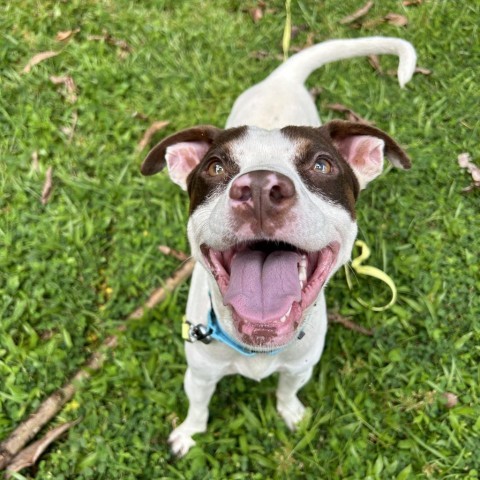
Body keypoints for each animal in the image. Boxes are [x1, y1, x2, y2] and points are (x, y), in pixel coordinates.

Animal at [140, 35, 416, 456]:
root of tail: (282, 77)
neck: (257, 349)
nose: (258, 188)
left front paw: (291, 414)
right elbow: (199, 406)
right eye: (215, 167)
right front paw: (189, 432)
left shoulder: (300, 367)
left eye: (322, 165)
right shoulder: (199, 373)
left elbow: (287, 390)